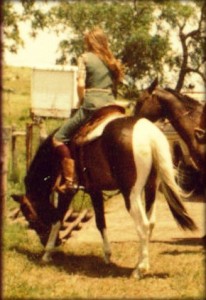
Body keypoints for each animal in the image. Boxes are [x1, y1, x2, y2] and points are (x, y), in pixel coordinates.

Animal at [12, 105, 196, 278]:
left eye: (29, 217)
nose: (49, 242)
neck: (53, 156)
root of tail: (148, 132)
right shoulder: (95, 190)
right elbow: (100, 222)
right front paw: (107, 255)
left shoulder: (67, 192)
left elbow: (58, 218)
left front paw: (47, 253)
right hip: (151, 188)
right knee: (150, 223)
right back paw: (140, 263)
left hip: (131, 194)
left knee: (143, 224)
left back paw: (140, 269)